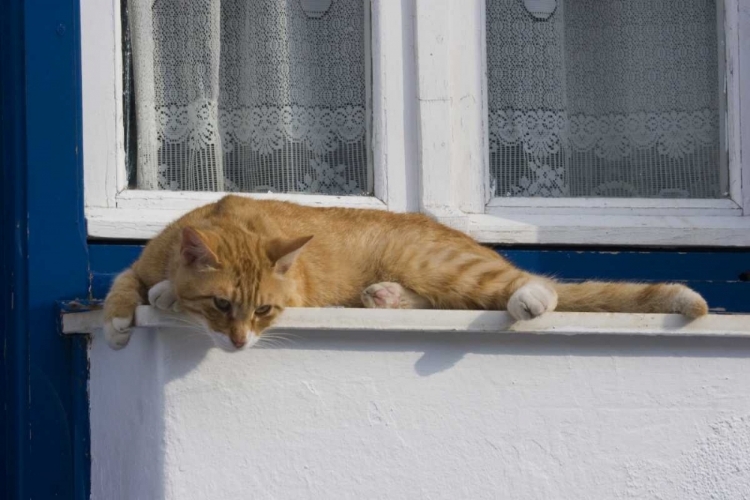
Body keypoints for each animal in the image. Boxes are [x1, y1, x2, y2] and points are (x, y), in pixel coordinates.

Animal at [104, 195, 712, 352]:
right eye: (222, 305)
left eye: (264, 310)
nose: (239, 343)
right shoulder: (142, 262)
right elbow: (123, 282)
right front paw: (124, 313)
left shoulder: (298, 291)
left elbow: (151, 288)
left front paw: (157, 300)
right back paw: (385, 297)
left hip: (438, 264)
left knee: (521, 287)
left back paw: (531, 299)